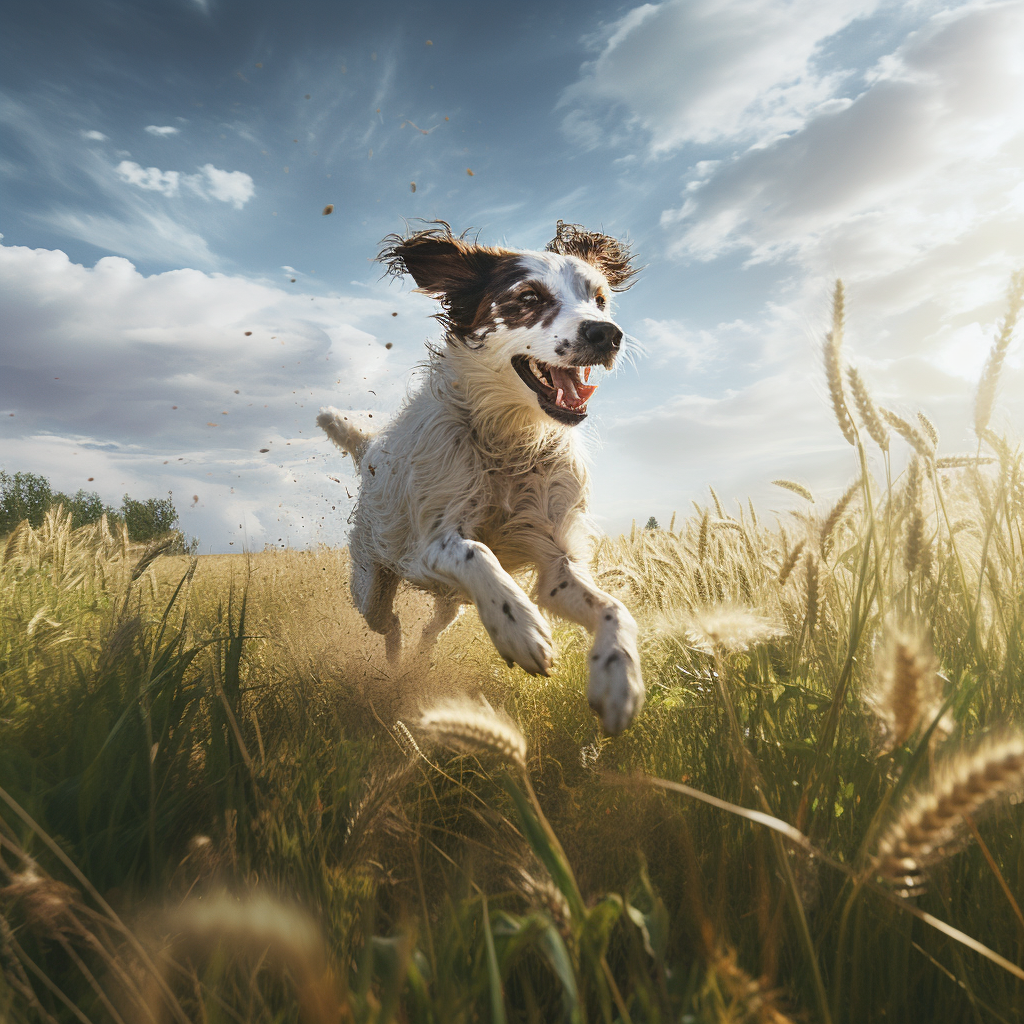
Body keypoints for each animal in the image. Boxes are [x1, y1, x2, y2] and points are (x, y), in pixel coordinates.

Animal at [315, 220, 643, 733]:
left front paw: (617, 675)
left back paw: (420, 659)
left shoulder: (557, 565)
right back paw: (396, 662)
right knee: (390, 623)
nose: (606, 334)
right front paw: (520, 628)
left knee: (432, 628)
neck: (508, 441)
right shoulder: (429, 545)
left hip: (451, 602)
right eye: (528, 297)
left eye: (600, 299)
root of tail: (370, 453)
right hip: (372, 589)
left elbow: (615, 608)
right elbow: (477, 551)